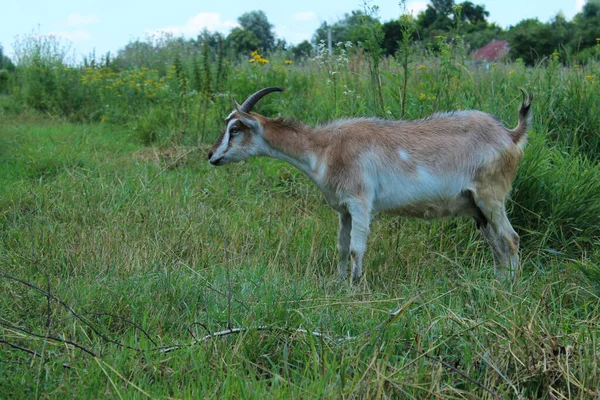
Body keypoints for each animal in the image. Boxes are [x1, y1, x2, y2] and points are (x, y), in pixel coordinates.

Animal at [209, 87, 532, 282]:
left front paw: (355, 286)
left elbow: (356, 248)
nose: (211, 155)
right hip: (477, 208)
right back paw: (498, 282)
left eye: (235, 128)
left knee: (511, 239)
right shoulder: (343, 209)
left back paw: (512, 286)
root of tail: (511, 134)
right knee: (497, 245)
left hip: (491, 197)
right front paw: (339, 283)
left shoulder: (360, 202)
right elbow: (341, 247)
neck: (325, 148)